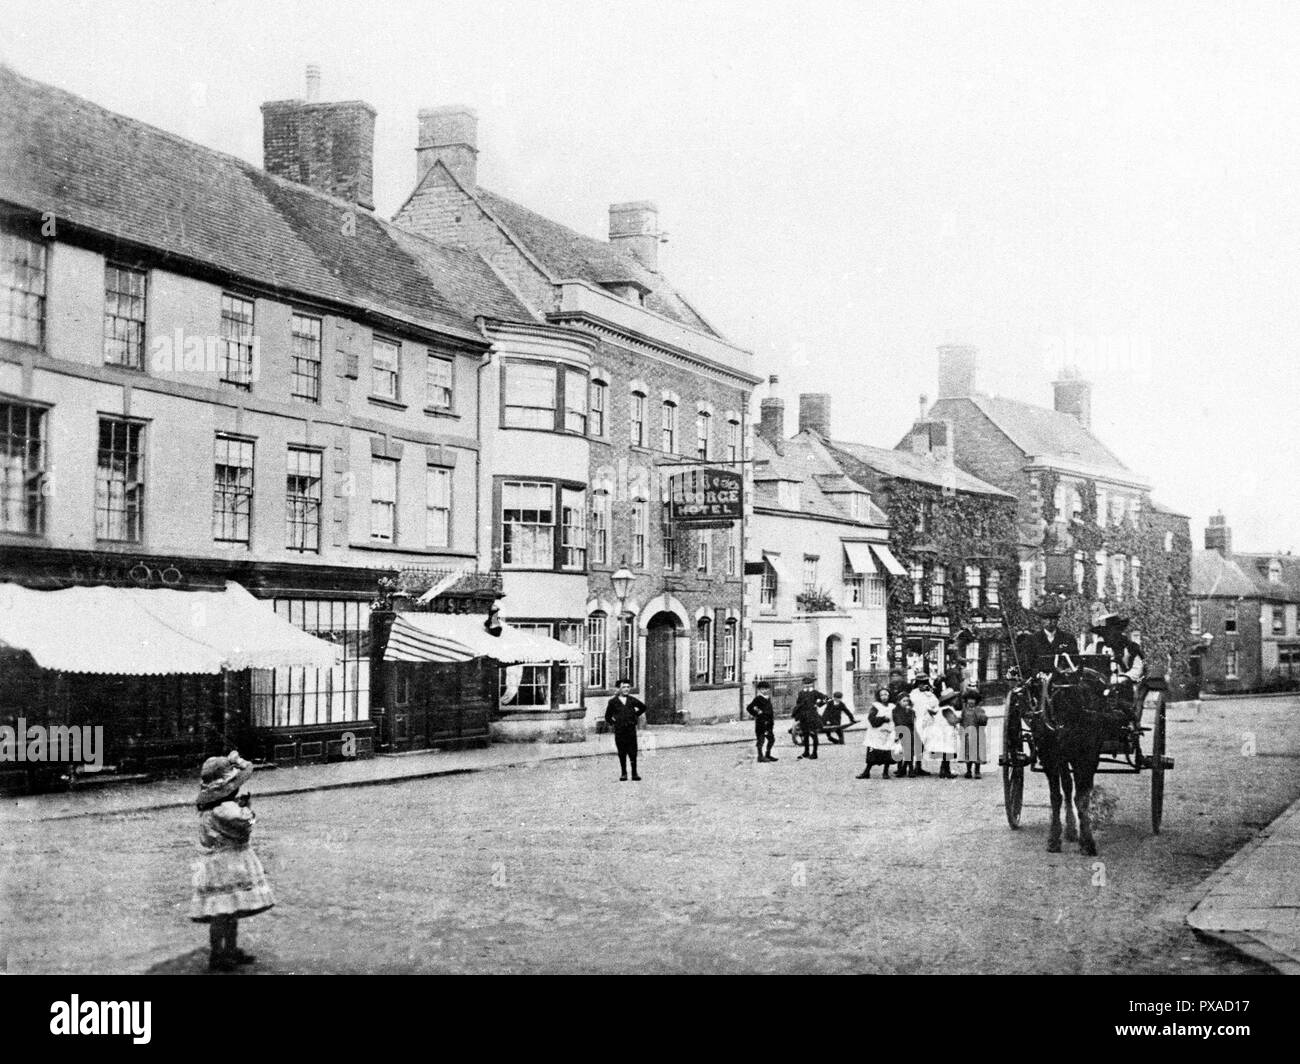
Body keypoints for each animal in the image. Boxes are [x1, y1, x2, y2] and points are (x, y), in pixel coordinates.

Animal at [1008, 663, 1112, 853]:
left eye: (1079, 698)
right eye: (1054, 700)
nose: (1065, 736)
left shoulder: (1087, 757)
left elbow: (1082, 798)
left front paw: (1087, 841)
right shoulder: (1050, 757)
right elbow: (1056, 796)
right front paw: (1054, 838)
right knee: (1067, 786)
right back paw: (1070, 829)